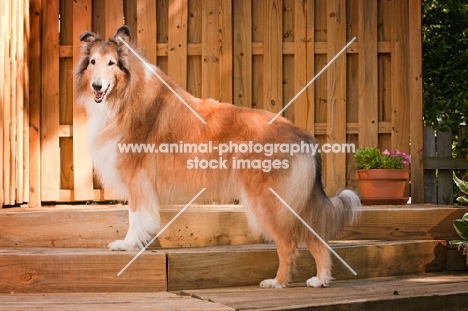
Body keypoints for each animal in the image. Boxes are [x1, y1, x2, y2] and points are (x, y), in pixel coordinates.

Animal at [75, 26, 360, 290]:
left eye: (111, 63)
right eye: (93, 62)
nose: (96, 86)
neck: (126, 94)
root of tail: (304, 136)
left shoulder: (136, 179)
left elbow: (134, 215)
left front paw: (127, 244)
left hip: (268, 201)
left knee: (289, 244)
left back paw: (277, 282)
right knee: (315, 237)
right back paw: (320, 279)